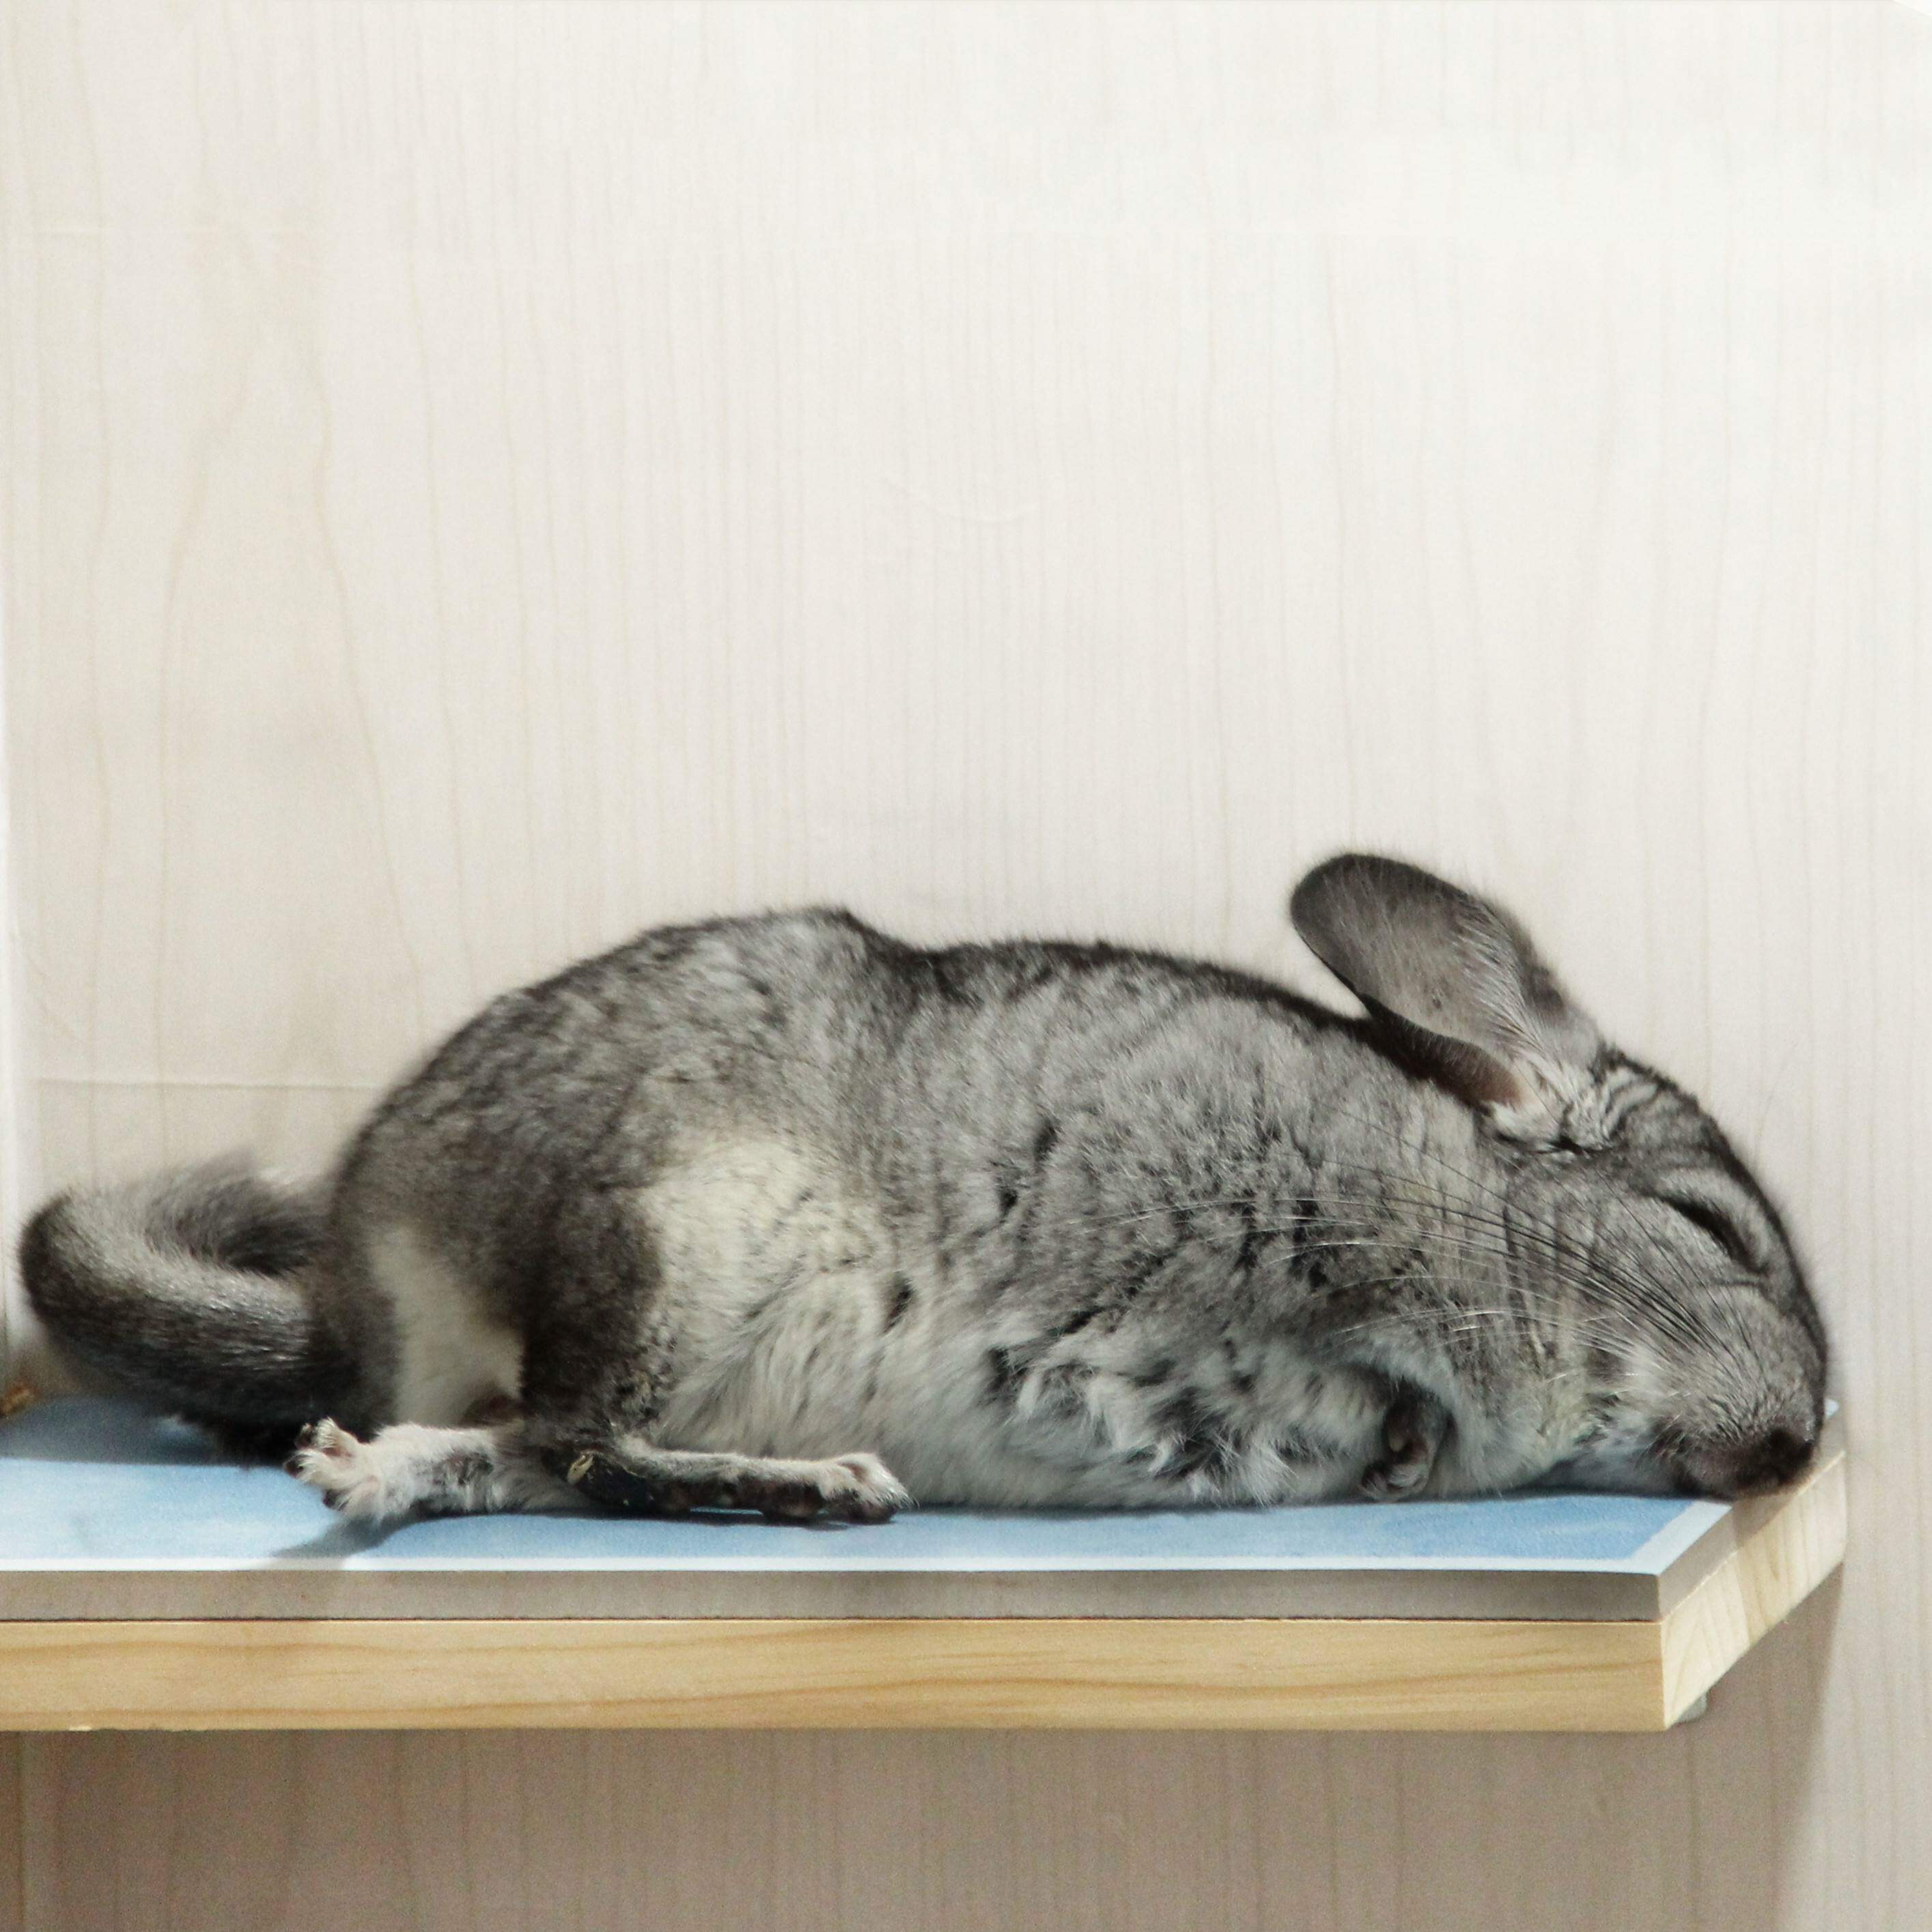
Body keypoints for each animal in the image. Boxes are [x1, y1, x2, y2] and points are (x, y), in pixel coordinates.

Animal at [19, 854, 1828, 1523]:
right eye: (1712, 1230)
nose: (1806, 1447)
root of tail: (348, 1288)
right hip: (666, 1233)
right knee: (580, 1438)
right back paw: (821, 1487)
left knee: (535, 1455)